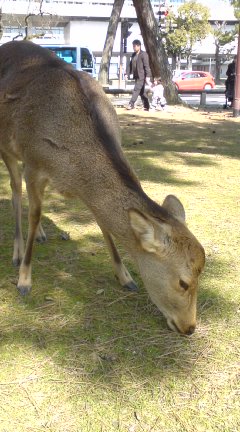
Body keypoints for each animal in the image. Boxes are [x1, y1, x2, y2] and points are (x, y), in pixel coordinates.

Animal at [0, 40, 204, 336]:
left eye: (202, 275)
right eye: (183, 282)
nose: (189, 327)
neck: (75, 169)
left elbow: (103, 225)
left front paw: (125, 276)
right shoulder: (34, 165)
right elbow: (34, 212)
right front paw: (24, 280)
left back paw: (41, 235)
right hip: (8, 148)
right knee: (15, 191)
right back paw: (17, 251)